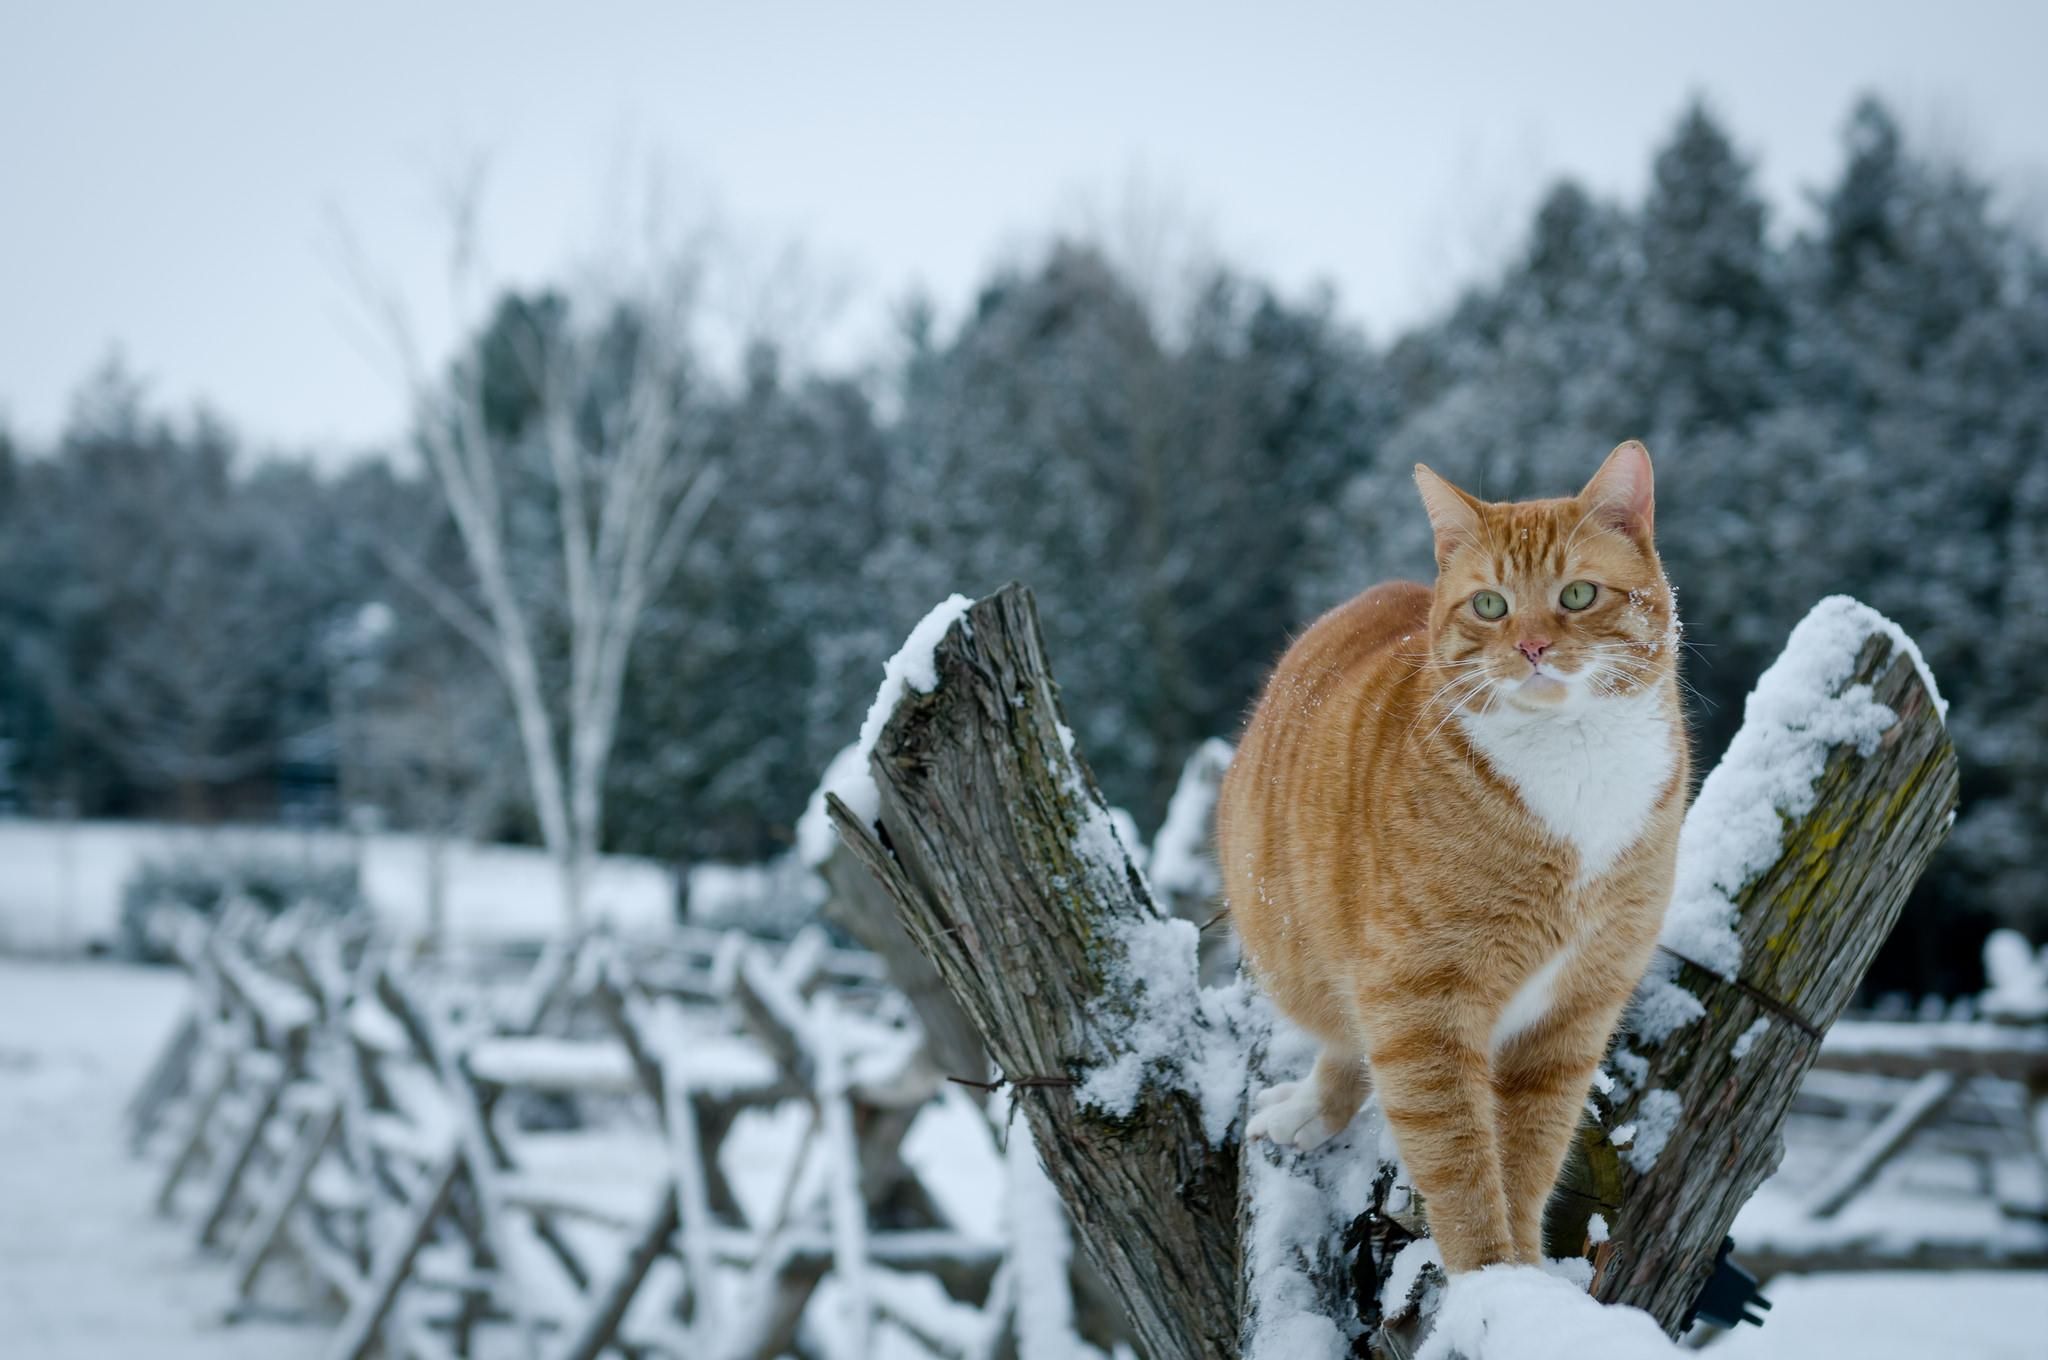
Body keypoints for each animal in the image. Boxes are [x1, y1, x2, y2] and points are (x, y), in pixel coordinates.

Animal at [1220, 440, 1687, 1269]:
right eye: (1491, 605)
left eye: (1577, 595)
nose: (1532, 646)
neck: (1574, 758)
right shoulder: (1419, 1003)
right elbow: (1460, 1164)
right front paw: (1488, 1278)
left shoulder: (1574, 1013)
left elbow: (1529, 1156)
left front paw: (1526, 1273)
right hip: (1311, 955)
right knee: (1345, 1042)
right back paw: (1312, 1110)